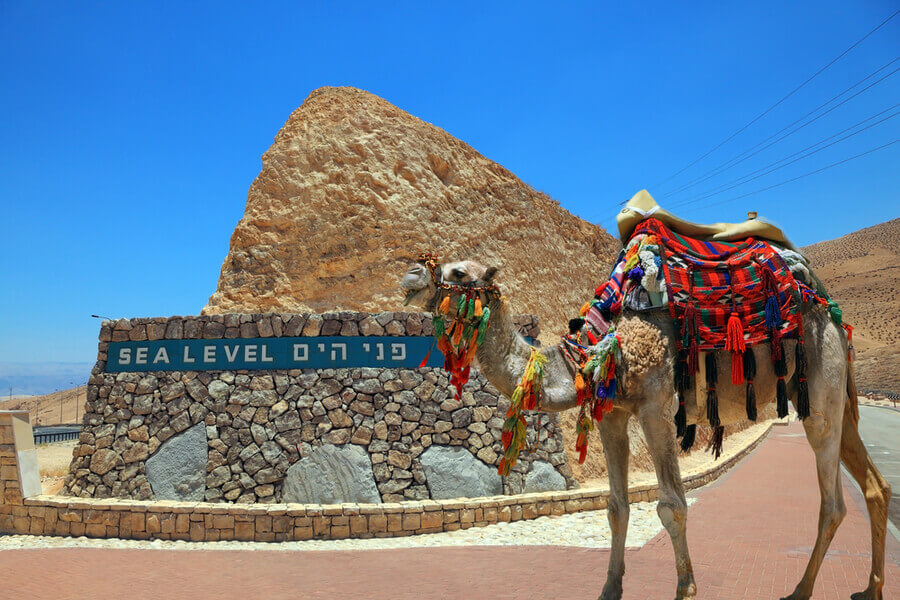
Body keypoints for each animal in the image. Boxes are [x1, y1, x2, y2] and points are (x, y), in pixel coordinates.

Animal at [402, 258, 892, 600]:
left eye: (459, 271)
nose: (409, 276)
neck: (596, 353)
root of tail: (833, 316)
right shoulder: (612, 414)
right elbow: (616, 508)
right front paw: (609, 589)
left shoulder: (657, 406)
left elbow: (672, 505)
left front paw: (685, 589)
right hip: (837, 400)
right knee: (875, 485)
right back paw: (869, 588)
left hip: (820, 392)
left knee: (833, 503)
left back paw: (800, 590)